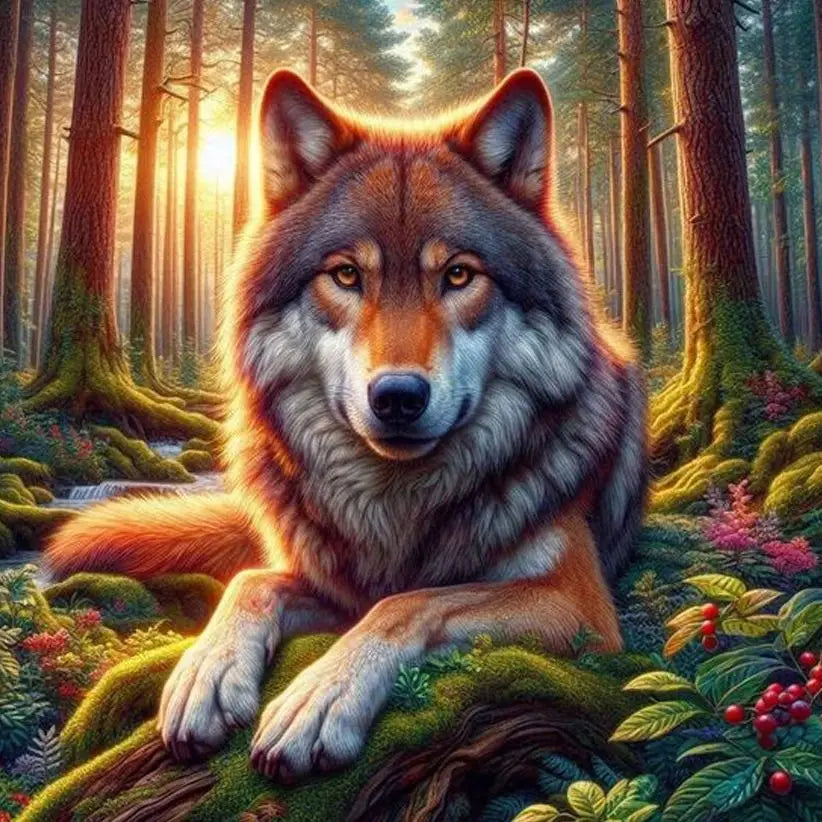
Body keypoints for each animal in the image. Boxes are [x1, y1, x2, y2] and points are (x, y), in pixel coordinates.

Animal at [45, 67, 647, 781]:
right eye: (347, 274)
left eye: (458, 274)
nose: (398, 396)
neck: (396, 505)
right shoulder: (328, 581)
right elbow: (252, 581)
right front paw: (206, 670)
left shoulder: (576, 604)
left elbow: (409, 602)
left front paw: (321, 698)